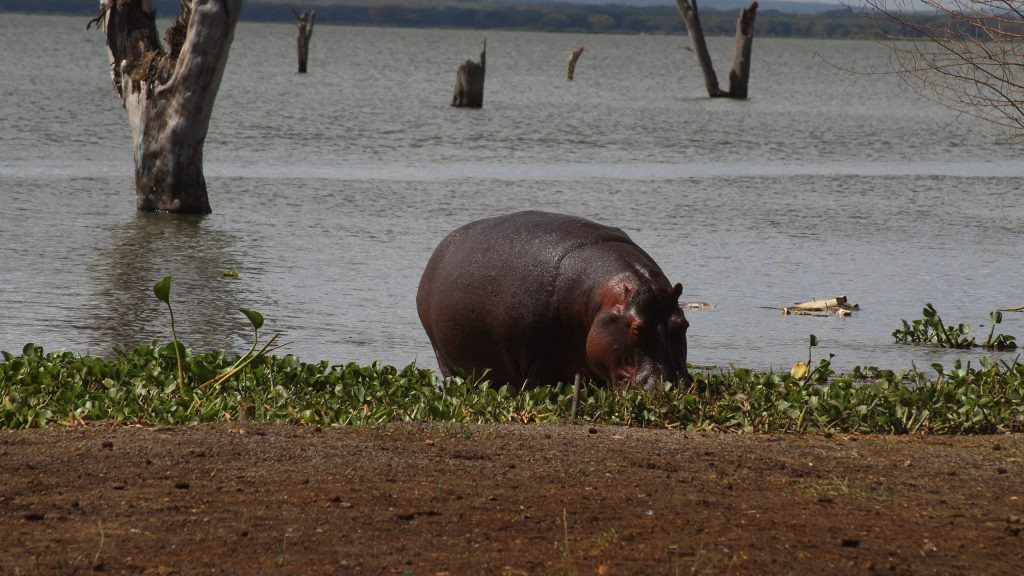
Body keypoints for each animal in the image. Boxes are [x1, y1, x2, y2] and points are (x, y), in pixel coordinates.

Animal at [416, 210, 691, 389]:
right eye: (635, 328)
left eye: (684, 325)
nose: (671, 388)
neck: (598, 298)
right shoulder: (540, 363)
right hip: (444, 357)